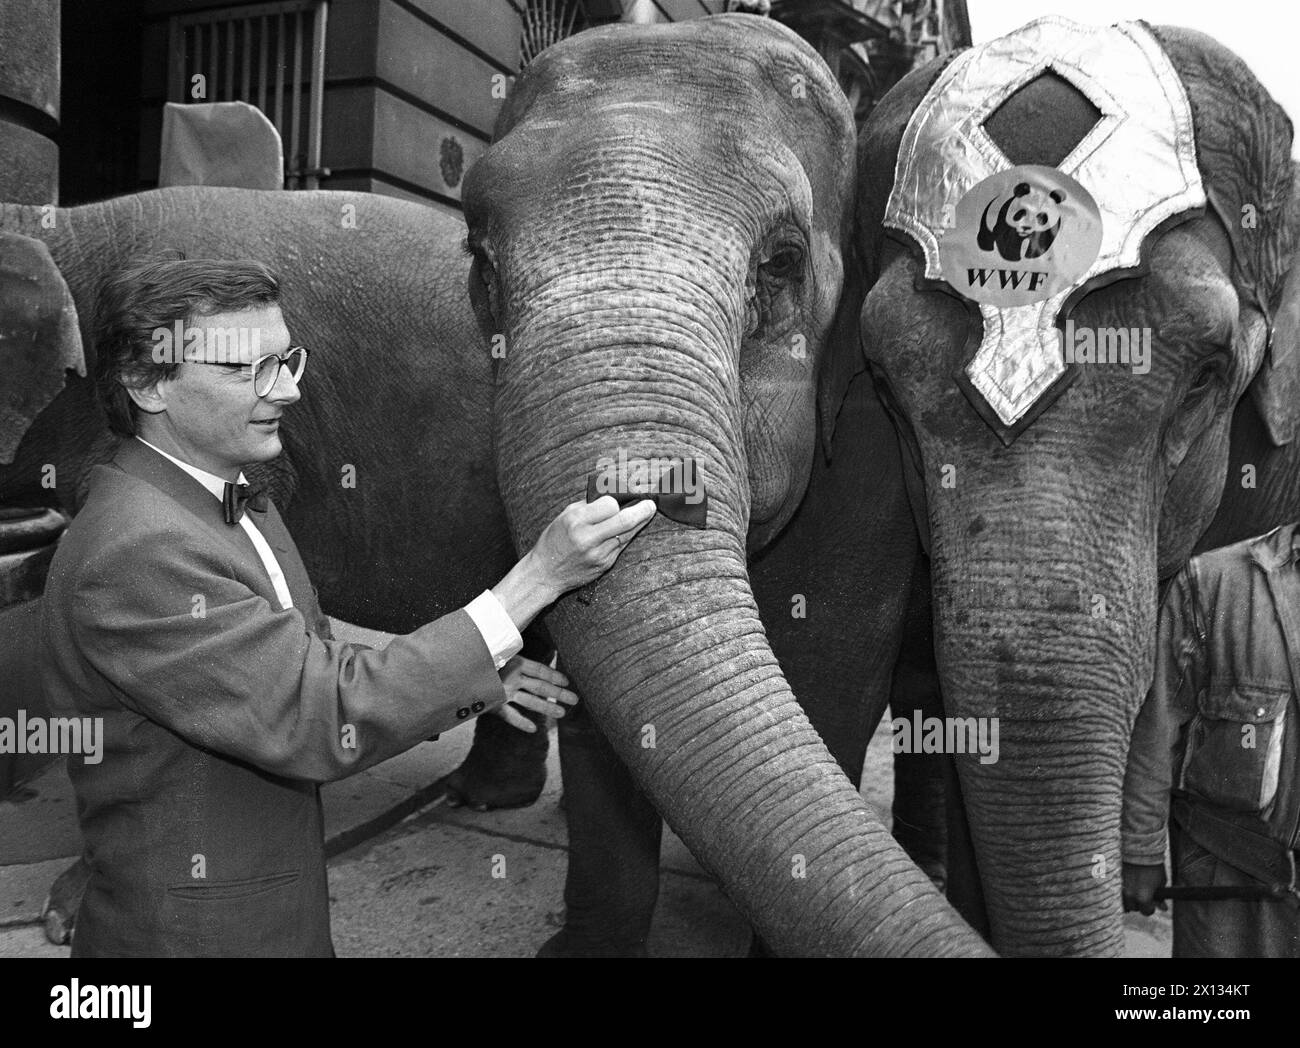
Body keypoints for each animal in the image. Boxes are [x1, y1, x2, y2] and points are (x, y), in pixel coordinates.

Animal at [0, 12, 977, 962]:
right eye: (483, 263)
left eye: (781, 264)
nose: (637, 497)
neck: (61, 222)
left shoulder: (867, 437)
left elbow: (836, 665)